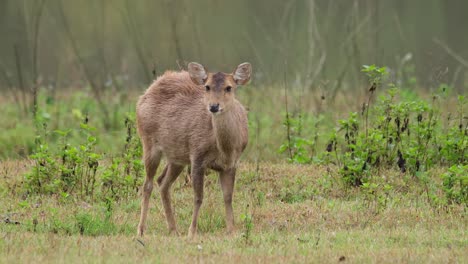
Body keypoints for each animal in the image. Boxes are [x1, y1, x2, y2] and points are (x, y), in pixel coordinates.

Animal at [135, 62, 252, 237]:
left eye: (229, 87)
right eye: (207, 87)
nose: (214, 106)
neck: (225, 148)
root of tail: (147, 91)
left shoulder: (231, 164)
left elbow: (228, 196)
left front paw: (232, 230)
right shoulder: (197, 156)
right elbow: (198, 197)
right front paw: (192, 231)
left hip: (177, 156)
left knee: (162, 182)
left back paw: (174, 229)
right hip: (148, 141)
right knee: (147, 185)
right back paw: (141, 230)